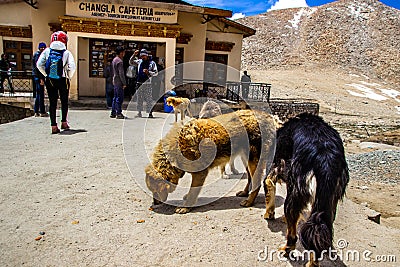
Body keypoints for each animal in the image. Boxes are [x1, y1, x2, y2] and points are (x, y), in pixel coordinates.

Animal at [145, 110, 278, 215]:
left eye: (155, 190)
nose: (154, 203)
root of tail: (268, 117)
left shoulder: (200, 174)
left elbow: (193, 191)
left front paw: (186, 206)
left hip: (253, 161)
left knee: (257, 181)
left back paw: (249, 201)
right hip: (246, 159)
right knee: (250, 178)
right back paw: (245, 193)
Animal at [264, 113, 348, 267]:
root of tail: (325, 157)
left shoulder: (277, 165)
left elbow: (268, 184)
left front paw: (269, 213)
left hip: (294, 195)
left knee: (293, 234)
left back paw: (287, 249)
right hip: (329, 202)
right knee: (317, 229)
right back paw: (312, 263)